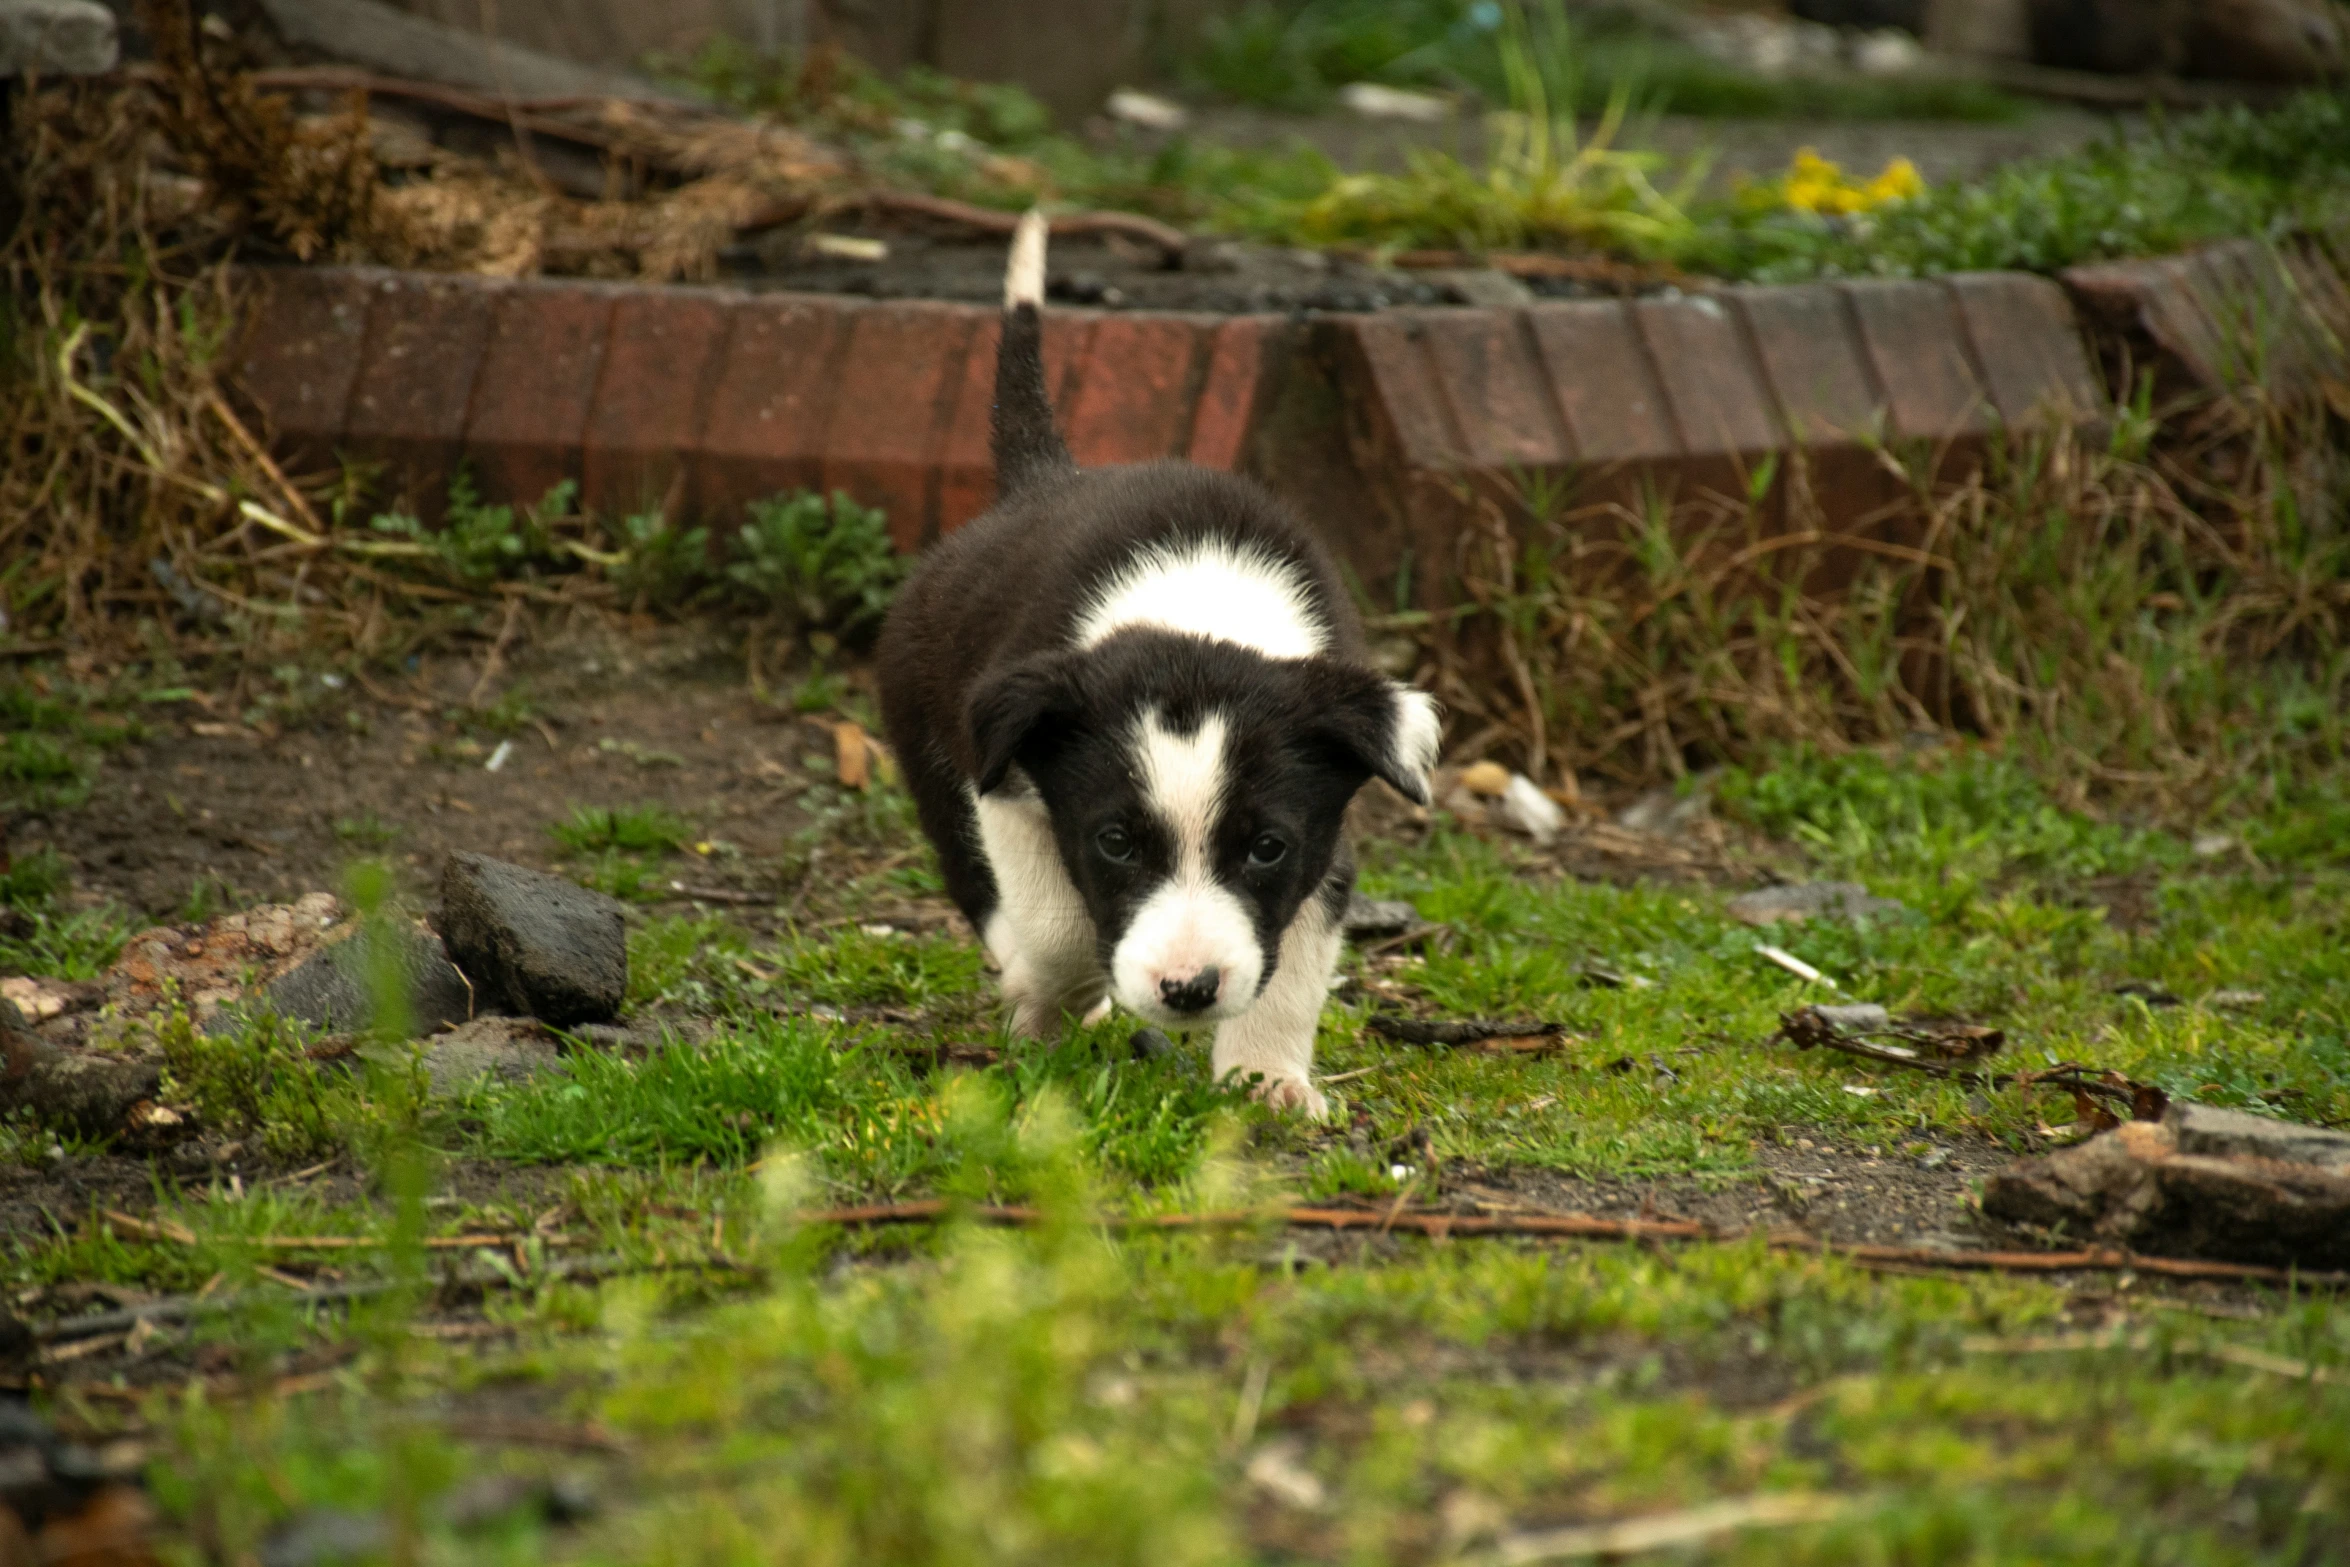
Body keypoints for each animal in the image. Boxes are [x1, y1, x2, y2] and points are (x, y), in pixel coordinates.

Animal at [878, 211, 1438, 1113]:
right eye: (1114, 841)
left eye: (1266, 847)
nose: (1187, 990)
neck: (1200, 622)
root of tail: (1043, 480)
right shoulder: (1009, 789)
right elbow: (1059, 929)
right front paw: (1047, 995)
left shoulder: (1324, 841)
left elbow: (1292, 965)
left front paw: (1269, 1080)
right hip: (930, 744)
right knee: (983, 890)